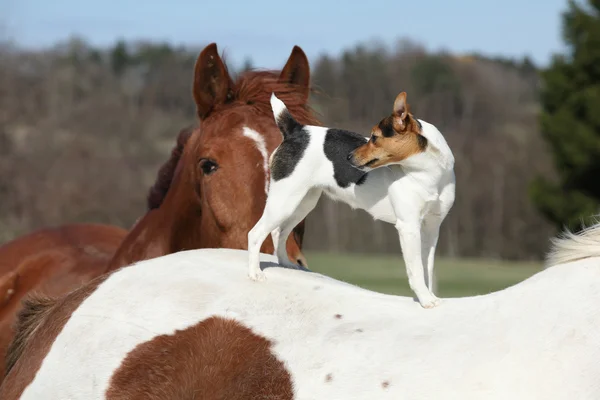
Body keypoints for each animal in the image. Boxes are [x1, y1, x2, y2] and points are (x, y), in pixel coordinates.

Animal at [247, 91, 454, 310]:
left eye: (374, 138)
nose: (348, 157)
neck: (428, 174)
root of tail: (297, 130)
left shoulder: (431, 228)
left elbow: (427, 268)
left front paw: (429, 295)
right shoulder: (409, 227)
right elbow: (416, 270)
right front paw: (425, 300)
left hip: (302, 204)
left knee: (279, 232)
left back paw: (286, 264)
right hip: (284, 201)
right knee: (255, 234)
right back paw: (255, 273)